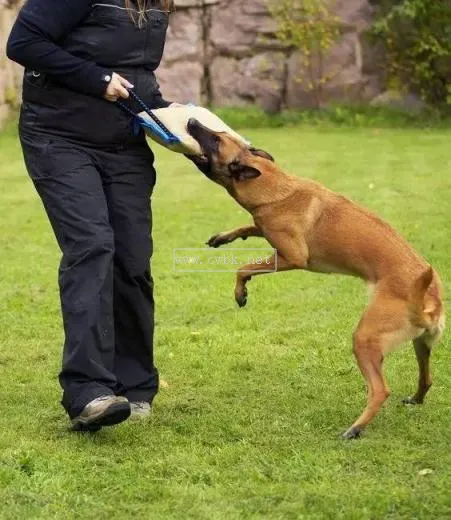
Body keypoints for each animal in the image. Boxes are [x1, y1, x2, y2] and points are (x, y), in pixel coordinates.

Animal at [186, 118, 444, 438]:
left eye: (217, 140)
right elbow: (248, 227)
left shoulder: (292, 257)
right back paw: (415, 399)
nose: (192, 121)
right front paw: (224, 237)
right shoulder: (266, 230)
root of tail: (430, 303)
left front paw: (240, 293)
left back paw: (355, 429)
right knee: (426, 378)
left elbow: (244, 268)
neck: (276, 187)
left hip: (365, 338)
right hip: (421, 344)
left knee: (380, 390)